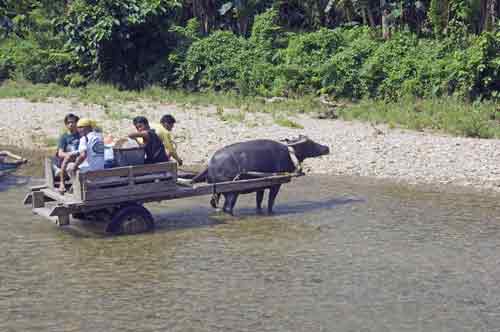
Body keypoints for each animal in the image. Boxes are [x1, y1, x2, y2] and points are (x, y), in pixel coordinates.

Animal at [191, 136, 328, 215]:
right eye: (310, 143)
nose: (327, 147)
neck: (290, 153)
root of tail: (211, 165)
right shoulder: (276, 185)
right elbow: (270, 202)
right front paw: (271, 212)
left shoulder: (260, 187)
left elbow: (259, 202)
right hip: (232, 193)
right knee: (228, 207)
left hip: (218, 192)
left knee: (216, 205)